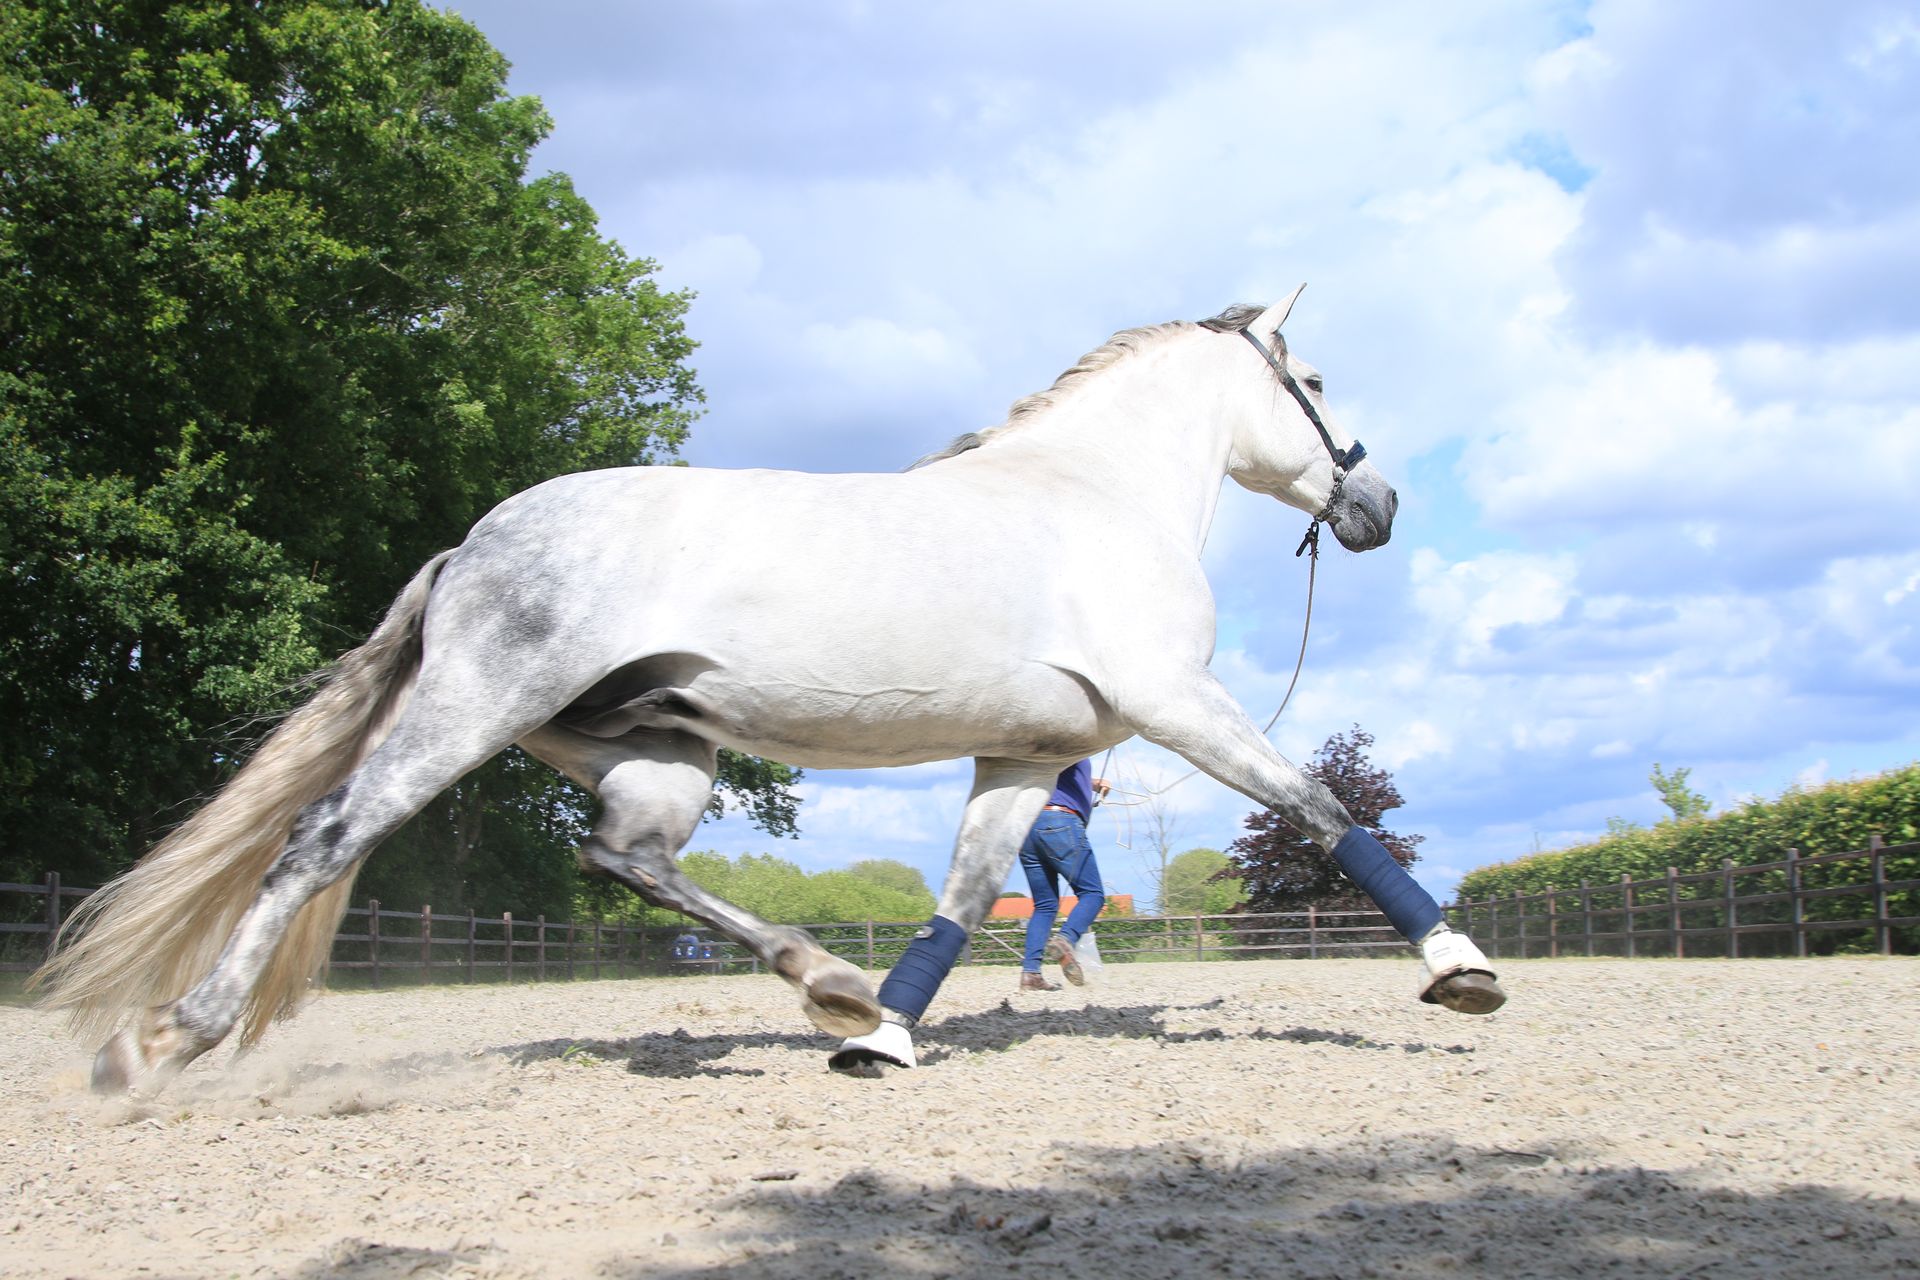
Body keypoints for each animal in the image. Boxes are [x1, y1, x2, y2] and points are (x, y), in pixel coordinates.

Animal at [35, 287, 1503, 1093]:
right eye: (1315, 380)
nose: (1375, 505)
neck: (1091, 497)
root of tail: (472, 544)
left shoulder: (1025, 755)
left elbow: (962, 900)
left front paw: (885, 1038)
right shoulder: (1174, 703)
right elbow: (1320, 809)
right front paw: (1462, 973)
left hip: (658, 753)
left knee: (625, 860)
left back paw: (827, 984)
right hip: (473, 713)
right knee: (326, 836)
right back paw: (170, 1036)